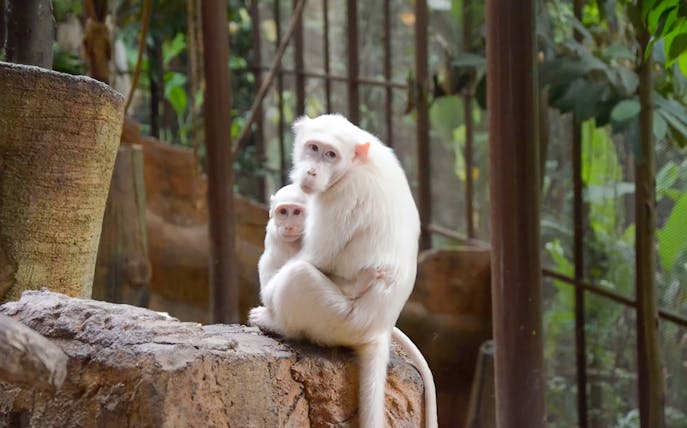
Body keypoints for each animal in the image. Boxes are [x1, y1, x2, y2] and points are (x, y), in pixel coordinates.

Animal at [250, 114, 437, 428]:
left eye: (330, 155)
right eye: (313, 147)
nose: (311, 171)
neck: (354, 165)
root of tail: (379, 329)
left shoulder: (343, 196)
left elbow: (316, 257)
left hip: (338, 321)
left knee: (297, 277)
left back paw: (277, 322)